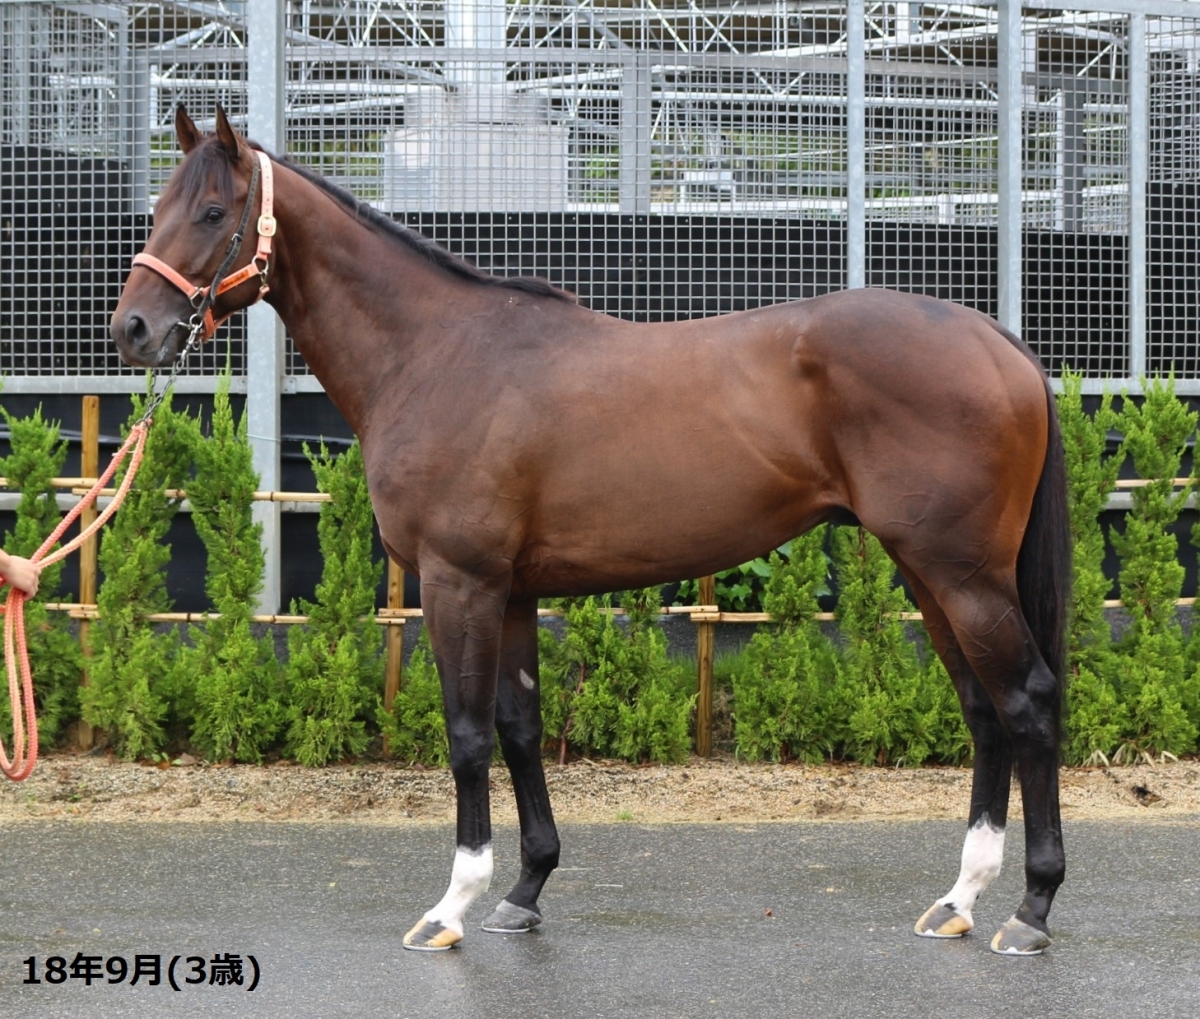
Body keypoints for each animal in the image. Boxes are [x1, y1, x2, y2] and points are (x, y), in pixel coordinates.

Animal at [110, 107, 1070, 960]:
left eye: (211, 212)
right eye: (157, 206)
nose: (133, 329)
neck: (436, 354)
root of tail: (999, 342)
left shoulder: (459, 581)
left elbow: (466, 732)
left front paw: (451, 905)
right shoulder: (511, 591)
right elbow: (519, 725)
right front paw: (524, 891)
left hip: (963, 575)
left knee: (1028, 700)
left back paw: (1031, 908)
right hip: (930, 572)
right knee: (983, 709)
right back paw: (959, 898)